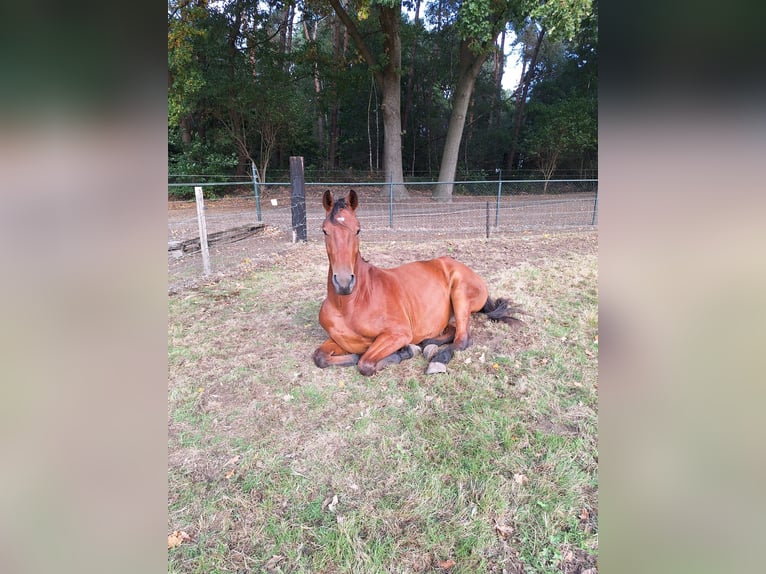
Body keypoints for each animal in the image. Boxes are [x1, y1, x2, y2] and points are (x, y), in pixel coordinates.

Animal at [312, 189, 524, 376]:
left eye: (358, 230)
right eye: (325, 231)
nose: (344, 283)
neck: (349, 305)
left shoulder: (398, 334)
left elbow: (365, 363)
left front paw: (404, 352)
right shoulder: (340, 340)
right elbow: (320, 356)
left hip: (460, 295)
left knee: (462, 339)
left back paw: (437, 360)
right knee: (450, 331)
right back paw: (426, 344)